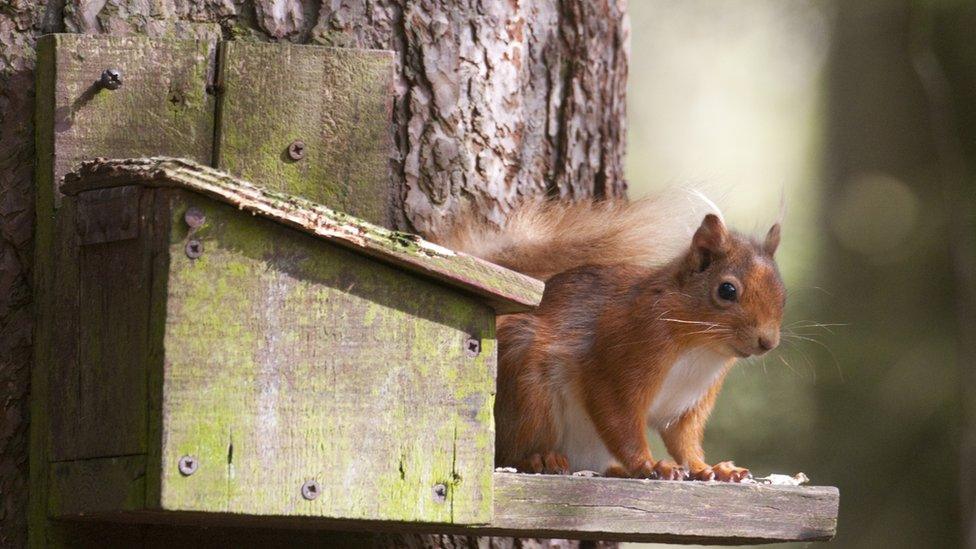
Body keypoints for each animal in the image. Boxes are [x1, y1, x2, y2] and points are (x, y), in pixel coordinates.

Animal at [442, 196, 784, 480]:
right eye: (726, 290)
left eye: (782, 293)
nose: (767, 342)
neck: (699, 349)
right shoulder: (619, 358)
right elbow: (619, 420)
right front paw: (650, 465)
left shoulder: (688, 404)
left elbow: (684, 440)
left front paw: (709, 468)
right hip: (529, 395)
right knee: (509, 454)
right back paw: (540, 459)